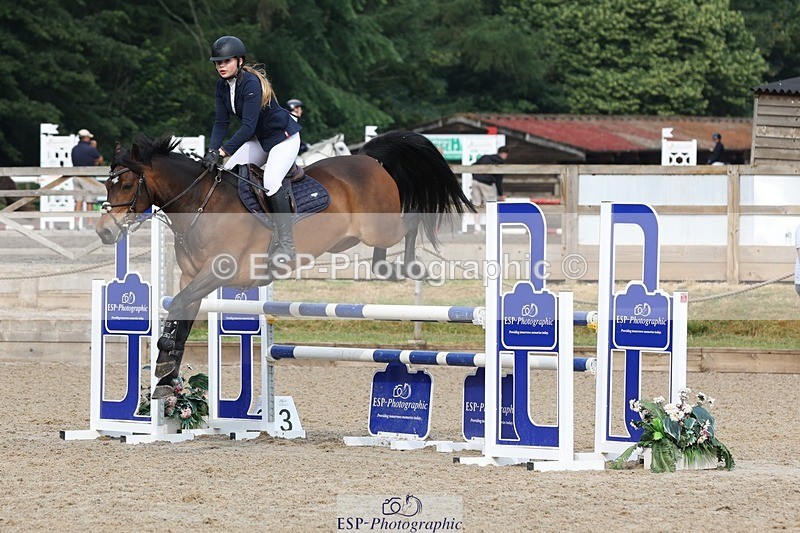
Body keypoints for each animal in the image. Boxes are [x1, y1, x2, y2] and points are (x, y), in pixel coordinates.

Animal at [96, 131, 474, 398]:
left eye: (127, 184)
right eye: (107, 184)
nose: (104, 231)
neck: (201, 203)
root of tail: (368, 159)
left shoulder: (216, 271)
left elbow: (178, 305)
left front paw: (164, 362)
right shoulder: (191, 276)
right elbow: (182, 316)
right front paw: (167, 374)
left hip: (380, 226)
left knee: (412, 221)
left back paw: (411, 266)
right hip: (357, 236)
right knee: (384, 248)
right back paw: (387, 269)